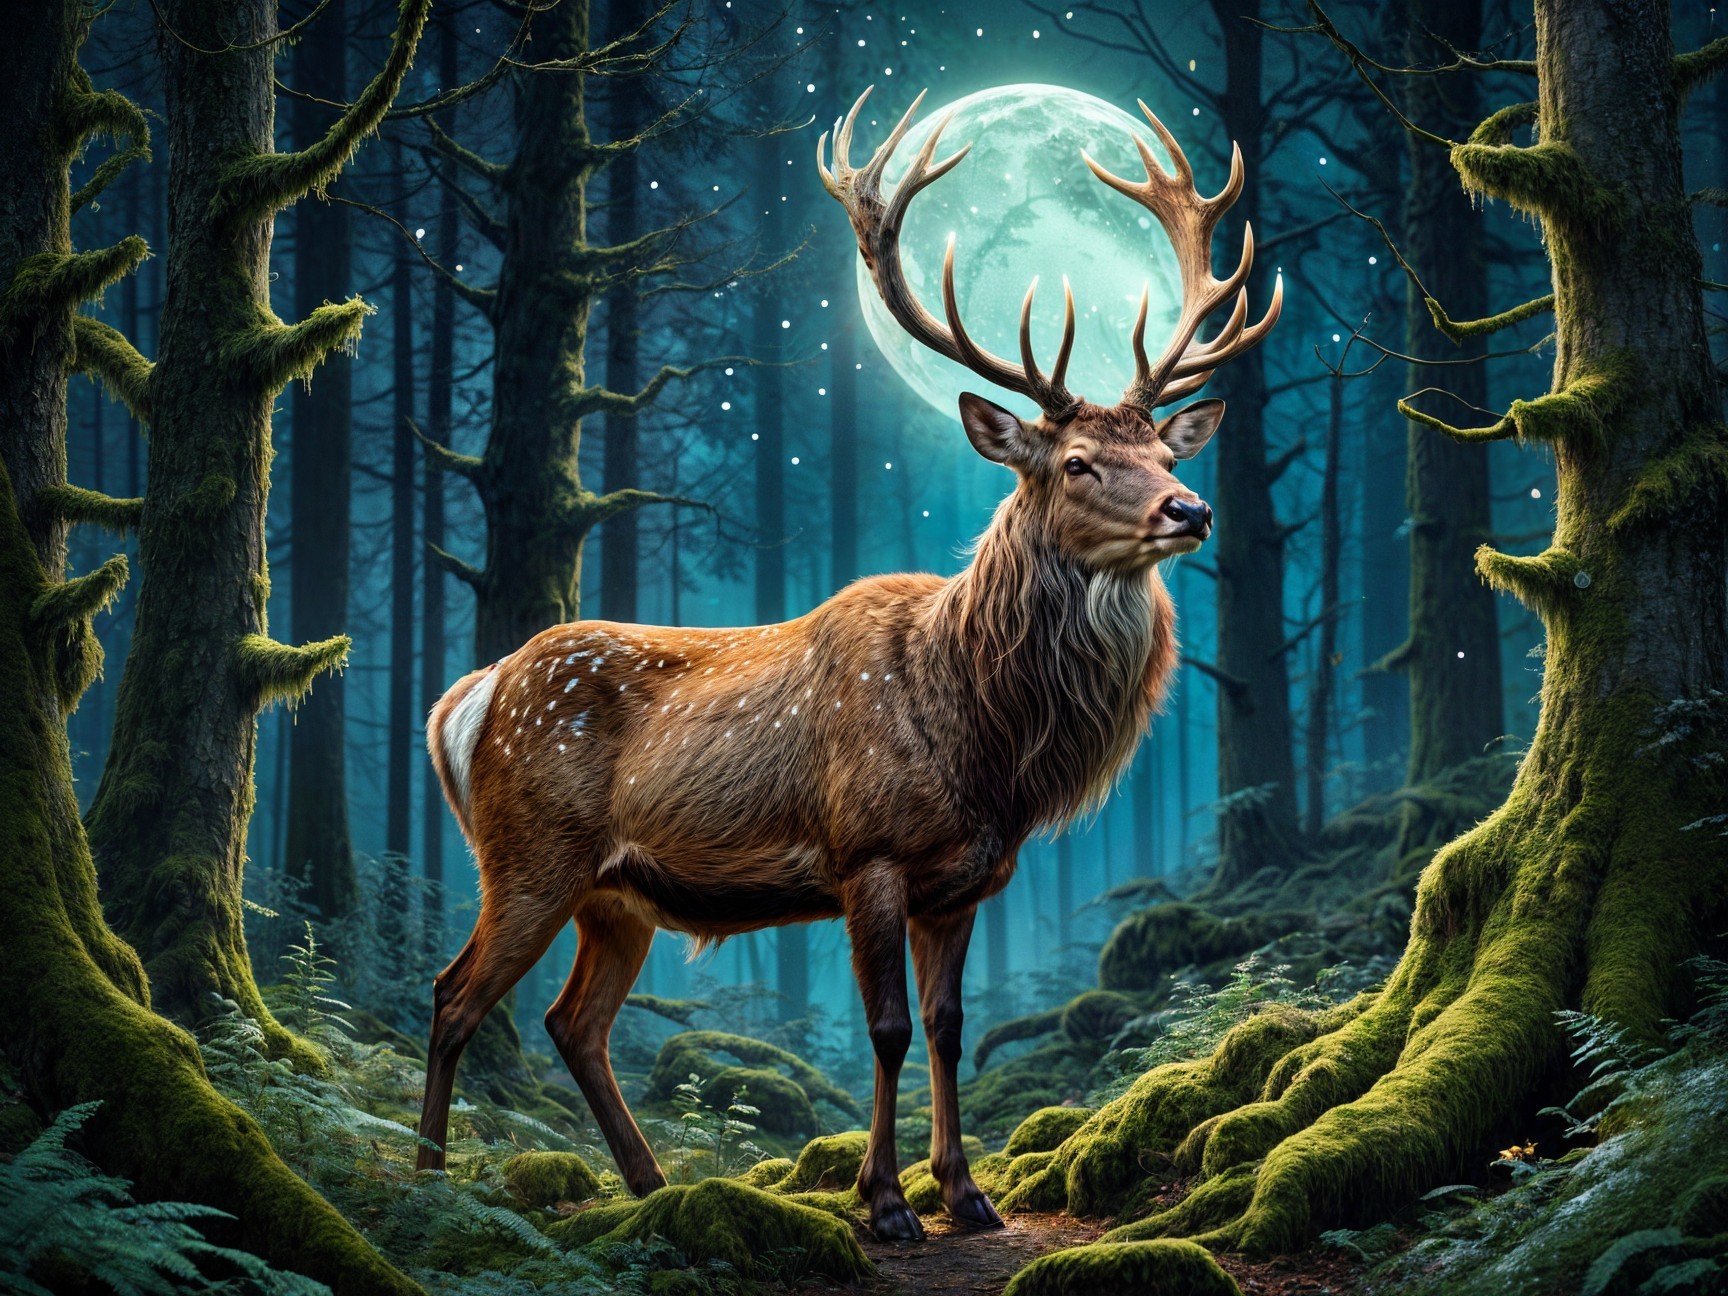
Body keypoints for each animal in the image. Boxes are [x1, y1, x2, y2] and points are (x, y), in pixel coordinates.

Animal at [415, 87, 1280, 1242]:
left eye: (1165, 451)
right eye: (1078, 462)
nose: (1191, 509)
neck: (988, 742)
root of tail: (466, 699)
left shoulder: (968, 879)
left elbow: (951, 1025)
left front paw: (969, 1196)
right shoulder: (865, 849)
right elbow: (887, 1028)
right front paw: (885, 1205)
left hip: (616, 893)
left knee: (572, 1022)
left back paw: (655, 1189)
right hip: (527, 853)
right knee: (454, 994)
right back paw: (427, 1183)